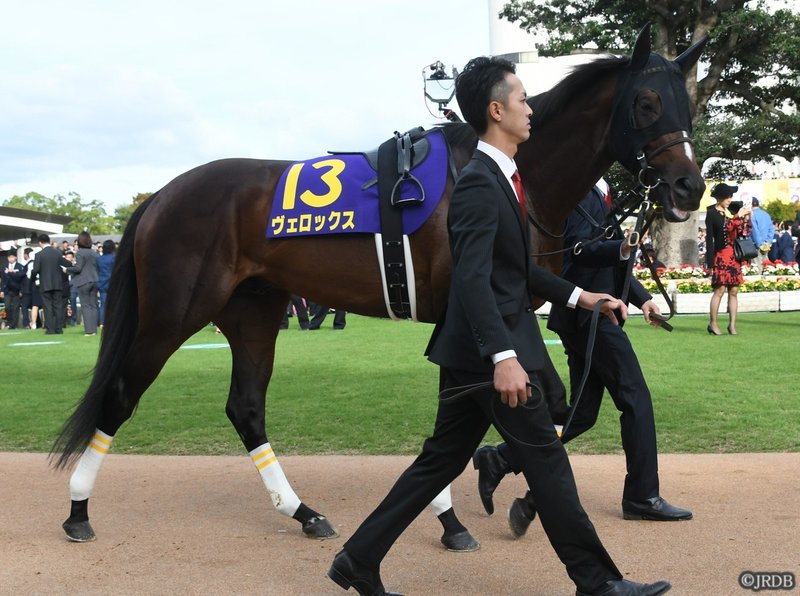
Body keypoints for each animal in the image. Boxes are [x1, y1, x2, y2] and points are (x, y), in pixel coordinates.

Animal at [50, 26, 704, 548]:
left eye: (688, 105)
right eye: (647, 102)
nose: (688, 187)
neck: (509, 169)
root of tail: (162, 194)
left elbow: (536, 405)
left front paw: (479, 497)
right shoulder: (473, 316)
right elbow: (510, 408)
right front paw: (475, 505)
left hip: (254, 311)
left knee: (247, 408)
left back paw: (303, 512)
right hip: (175, 312)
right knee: (121, 395)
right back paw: (78, 510)